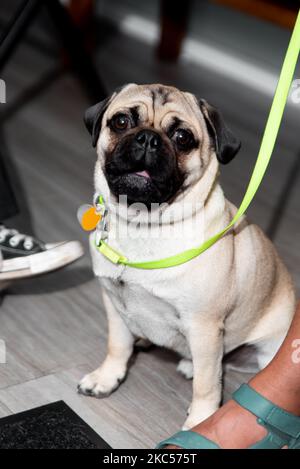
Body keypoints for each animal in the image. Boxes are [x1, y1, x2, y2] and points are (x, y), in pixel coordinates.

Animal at [77, 84, 296, 428]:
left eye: (182, 137)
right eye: (122, 122)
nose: (148, 138)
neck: (143, 223)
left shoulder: (203, 326)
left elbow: (207, 386)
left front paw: (201, 422)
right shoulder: (114, 304)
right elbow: (117, 345)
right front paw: (107, 377)